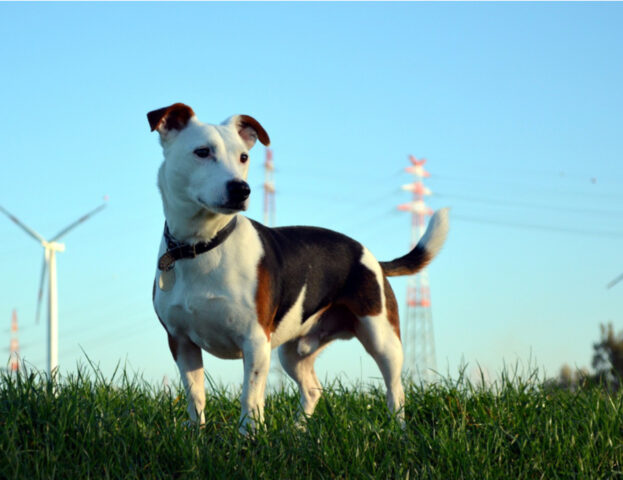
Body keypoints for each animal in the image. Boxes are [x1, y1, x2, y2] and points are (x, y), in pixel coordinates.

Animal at [147, 103, 448, 434]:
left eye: (243, 157)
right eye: (202, 152)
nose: (241, 189)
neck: (203, 245)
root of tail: (371, 257)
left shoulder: (255, 342)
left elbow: (250, 397)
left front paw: (249, 437)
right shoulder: (181, 341)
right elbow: (195, 395)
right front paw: (197, 434)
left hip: (382, 338)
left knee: (396, 390)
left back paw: (398, 431)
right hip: (292, 352)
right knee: (314, 389)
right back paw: (298, 429)